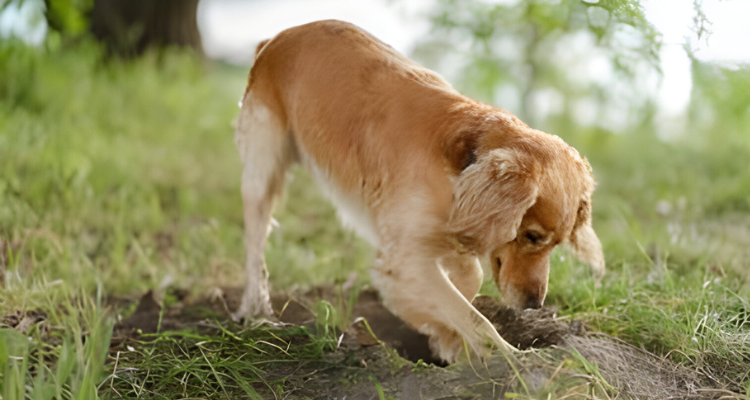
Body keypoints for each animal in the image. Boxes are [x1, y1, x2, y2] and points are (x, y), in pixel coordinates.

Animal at [232, 18, 608, 362]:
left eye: (557, 244)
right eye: (532, 236)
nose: (534, 305)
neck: (461, 165)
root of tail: (279, 37)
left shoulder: (448, 230)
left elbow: (467, 280)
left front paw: (444, 338)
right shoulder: (405, 258)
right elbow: (473, 316)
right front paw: (507, 359)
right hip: (262, 170)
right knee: (254, 246)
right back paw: (256, 311)